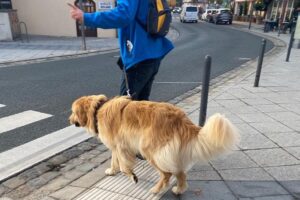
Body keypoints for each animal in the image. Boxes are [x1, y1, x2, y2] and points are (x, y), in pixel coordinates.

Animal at [68, 94, 239, 195]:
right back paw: (179, 190)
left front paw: (132, 176)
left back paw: (156, 190)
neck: (98, 109)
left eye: (73, 112)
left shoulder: (122, 147)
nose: (69, 120)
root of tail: (180, 117)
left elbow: (123, 166)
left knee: (167, 174)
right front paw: (112, 171)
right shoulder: (117, 146)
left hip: (149, 149)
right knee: (180, 173)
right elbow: (114, 161)